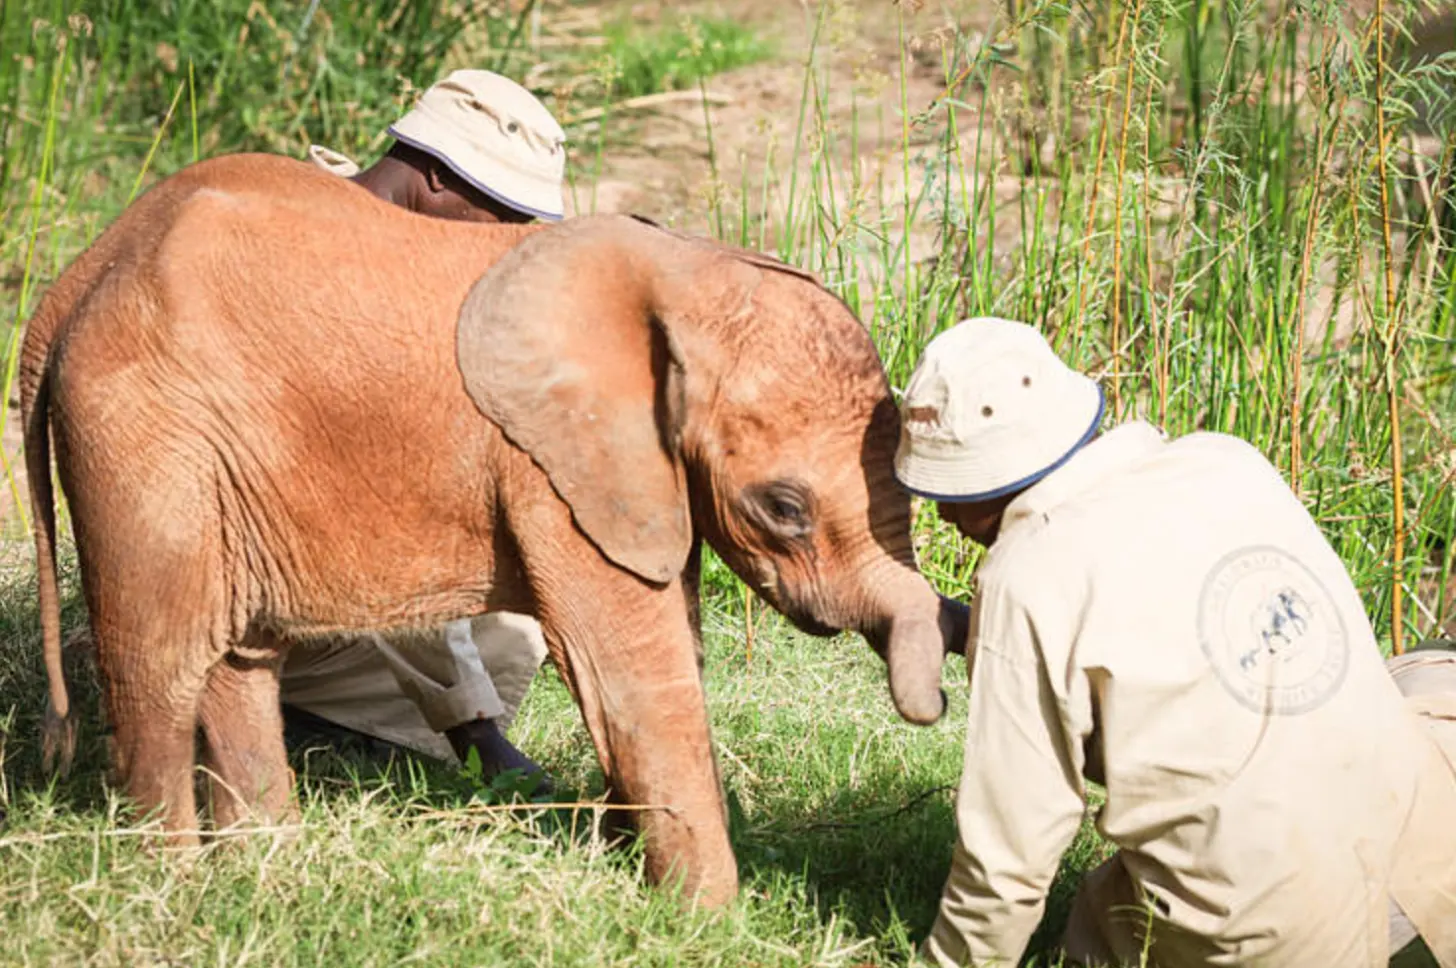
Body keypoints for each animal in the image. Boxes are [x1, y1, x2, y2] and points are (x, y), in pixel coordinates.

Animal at [19, 152, 966, 907]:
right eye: (784, 509)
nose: (940, 701)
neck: (687, 270)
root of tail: (73, 281)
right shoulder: (548, 464)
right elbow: (630, 669)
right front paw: (710, 922)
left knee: (238, 659)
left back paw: (265, 874)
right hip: (144, 434)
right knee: (159, 665)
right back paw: (167, 894)